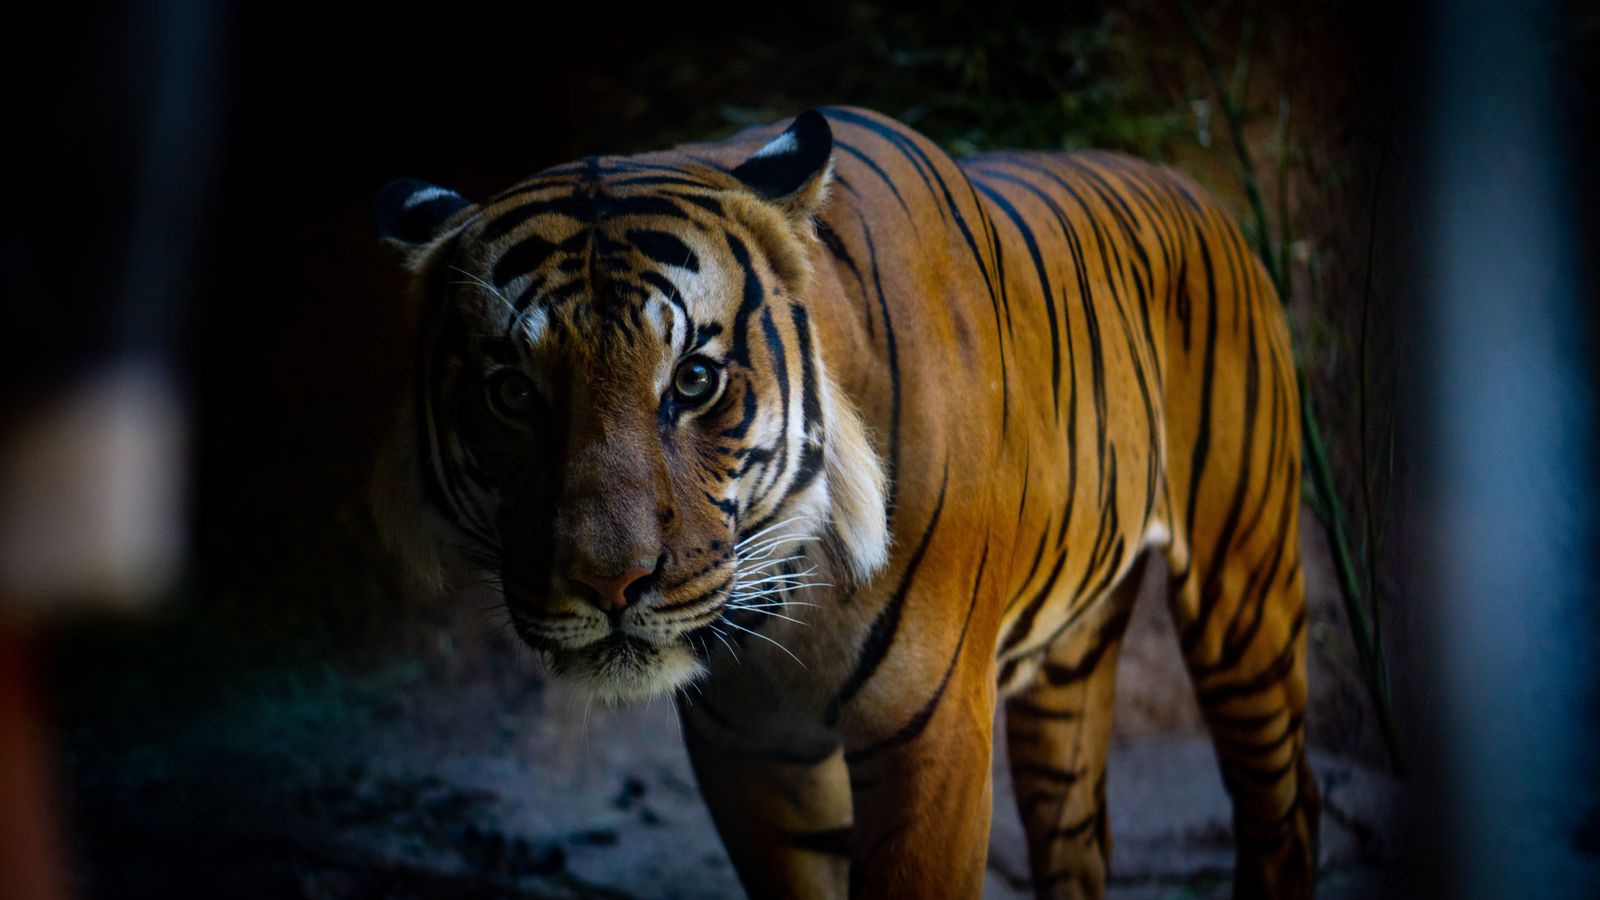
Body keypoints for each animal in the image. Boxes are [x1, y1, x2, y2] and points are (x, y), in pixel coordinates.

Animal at [370, 107, 1317, 899]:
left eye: (694, 380)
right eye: (512, 393)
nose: (610, 585)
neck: (788, 600)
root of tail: (1195, 187)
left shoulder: (933, 733)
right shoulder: (754, 754)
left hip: (1245, 599)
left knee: (1285, 808)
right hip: (1072, 672)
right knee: (1081, 840)